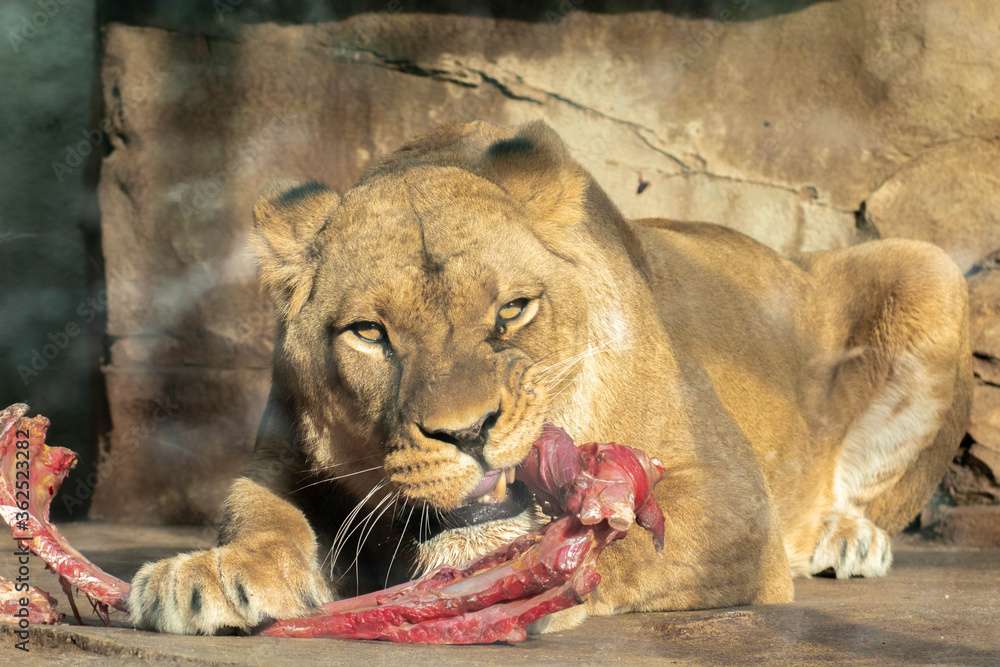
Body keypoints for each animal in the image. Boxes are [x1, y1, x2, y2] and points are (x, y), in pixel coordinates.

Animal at [129, 120, 971, 635]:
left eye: (513, 309)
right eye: (370, 333)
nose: (468, 432)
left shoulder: (730, 490)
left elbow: (629, 547)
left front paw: (529, 583)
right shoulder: (277, 460)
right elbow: (259, 515)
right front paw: (205, 574)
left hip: (929, 269)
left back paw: (844, 537)